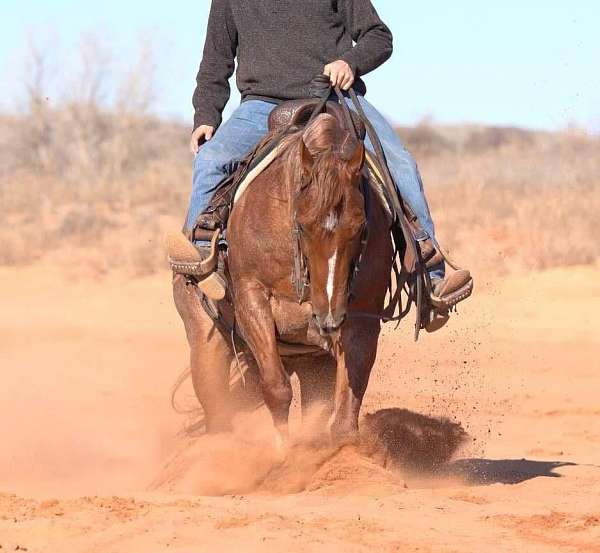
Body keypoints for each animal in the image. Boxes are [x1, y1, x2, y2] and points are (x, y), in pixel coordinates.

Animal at [172, 112, 394, 444]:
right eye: (302, 225)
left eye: (361, 227)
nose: (329, 316)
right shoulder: (252, 298)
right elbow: (276, 389)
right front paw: (282, 448)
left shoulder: (362, 317)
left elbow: (345, 415)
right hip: (207, 346)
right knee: (218, 411)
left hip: (311, 361)